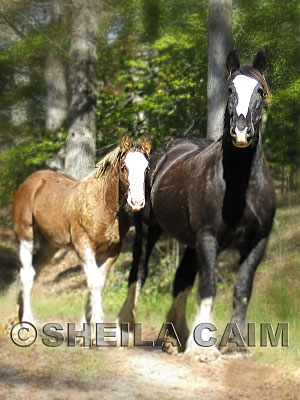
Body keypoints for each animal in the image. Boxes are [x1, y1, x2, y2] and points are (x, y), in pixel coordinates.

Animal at [12, 135, 151, 338]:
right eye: (124, 167)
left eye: (146, 168)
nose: (137, 202)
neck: (103, 206)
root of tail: (30, 181)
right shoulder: (84, 246)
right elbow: (94, 282)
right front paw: (95, 331)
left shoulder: (111, 252)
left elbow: (98, 283)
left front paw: (87, 332)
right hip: (25, 236)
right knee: (27, 274)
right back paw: (26, 324)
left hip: (49, 245)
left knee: (35, 271)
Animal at [118, 50, 276, 360]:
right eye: (230, 90)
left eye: (260, 91)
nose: (241, 132)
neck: (239, 186)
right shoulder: (208, 238)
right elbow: (208, 287)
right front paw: (204, 348)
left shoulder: (257, 242)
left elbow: (242, 290)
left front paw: (236, 345)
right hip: (149, 230)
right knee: (138, 273)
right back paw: (127, 329)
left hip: (191, 243)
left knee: (181, 280)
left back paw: (172, 337)